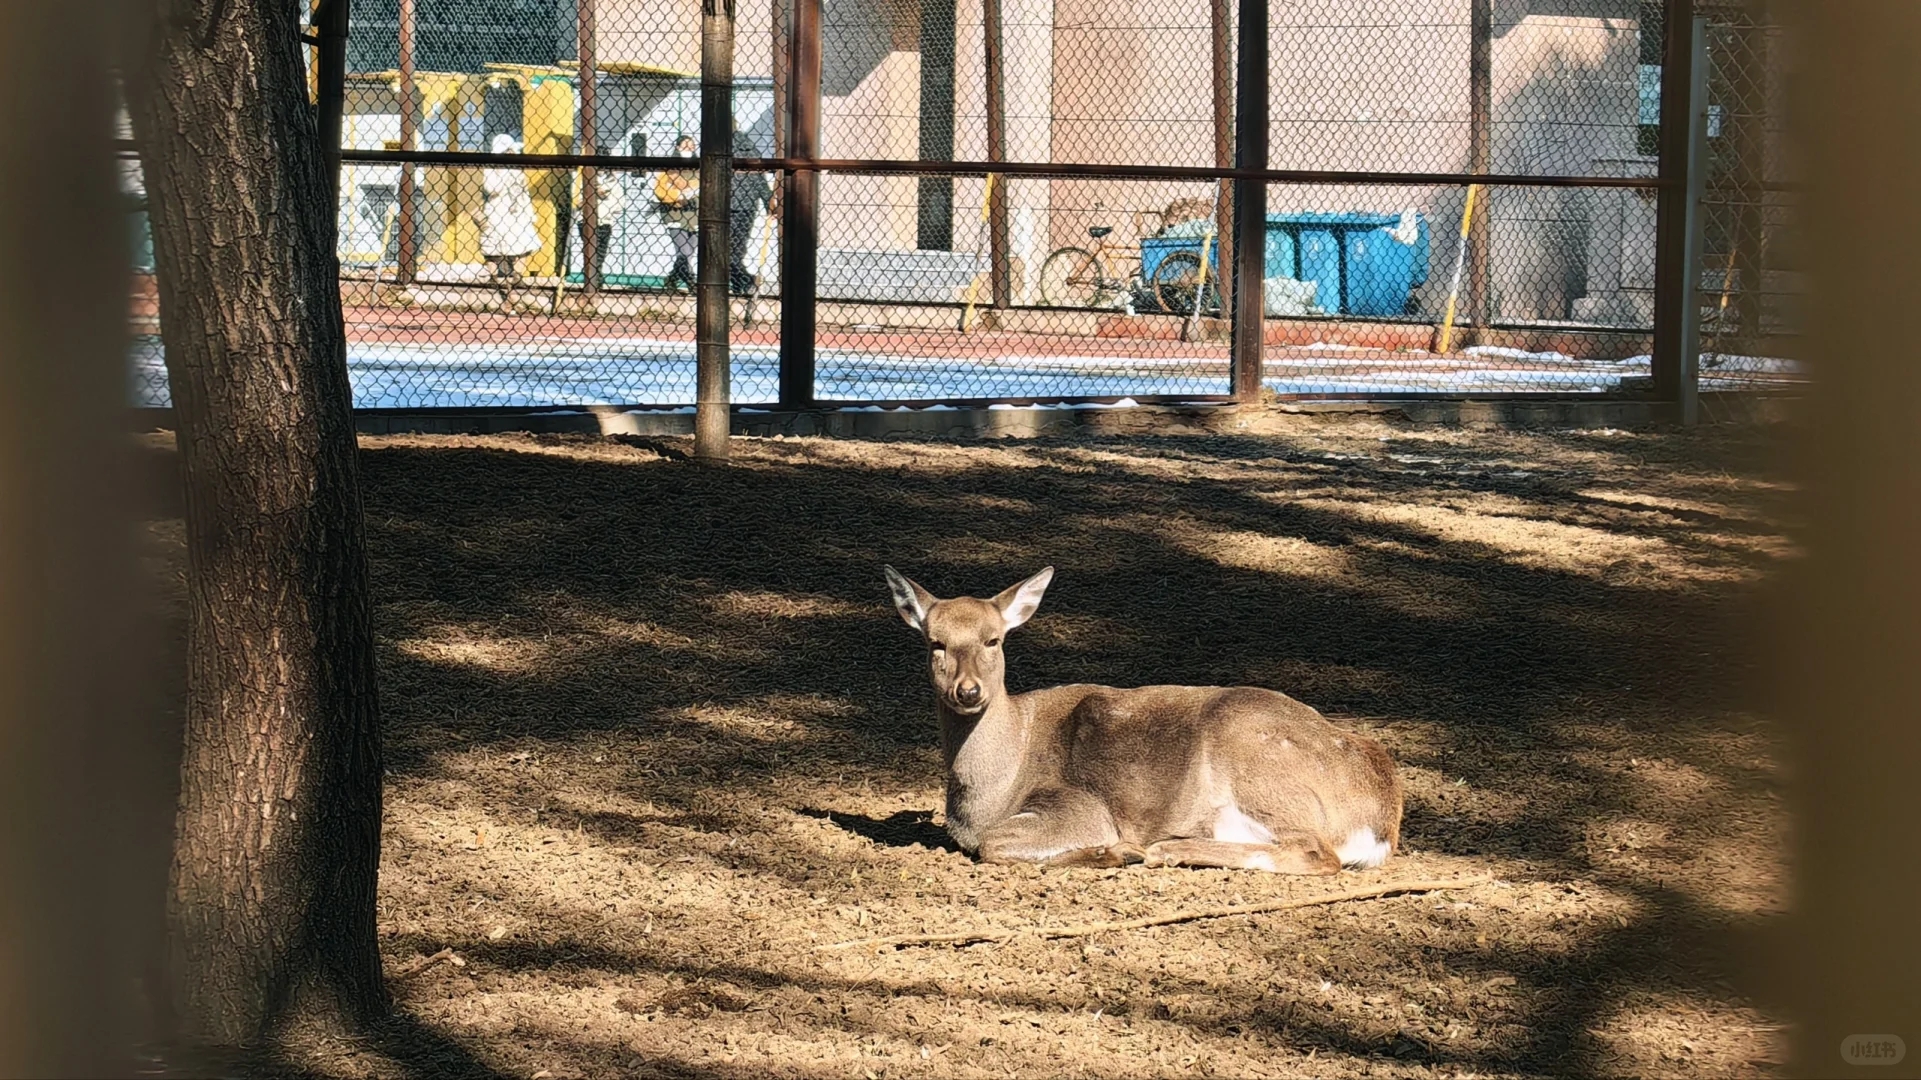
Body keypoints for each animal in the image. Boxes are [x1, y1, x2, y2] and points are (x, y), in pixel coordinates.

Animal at [887, 568, 1413, 868]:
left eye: (993, 639)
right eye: (935, 642)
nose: (968, 690)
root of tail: (1382, 819)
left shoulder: (1080, 804)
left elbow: (994, 845)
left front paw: (1113, 851)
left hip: (1260, 761)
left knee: (1319, 852)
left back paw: (1166, 850)